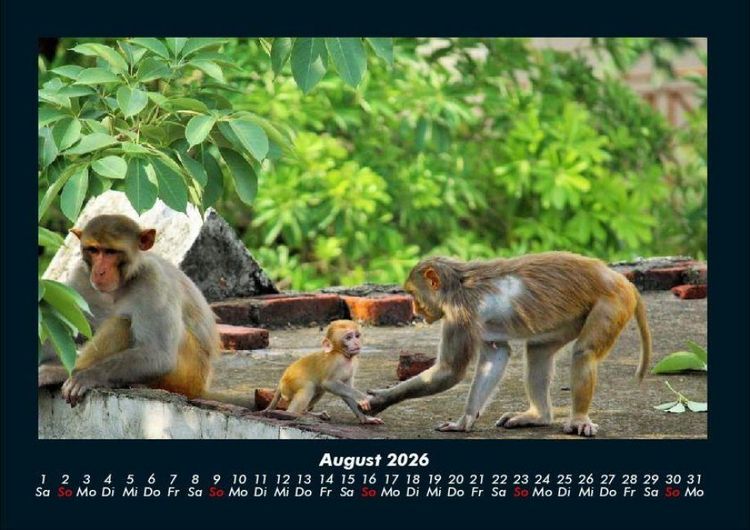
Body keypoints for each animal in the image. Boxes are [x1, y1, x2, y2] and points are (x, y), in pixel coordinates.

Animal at [38, 214, 222, 407]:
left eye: (111, 252)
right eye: (94, 250)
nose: (99, 272)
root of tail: (201, 388)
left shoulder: (154, 280)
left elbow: (158, 354)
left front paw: (87, 375)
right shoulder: (80, 276)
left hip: (187, 375)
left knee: (122, 323)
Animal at [359, 252, 652, 437]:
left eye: (413, 293)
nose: (416, 310)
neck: (458, 284)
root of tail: (619, 279)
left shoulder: (459, 314)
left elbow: (450, 371)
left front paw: (381, 399)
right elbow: (495, 357)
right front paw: (465, 420)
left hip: (612, 303)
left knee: (584, 352)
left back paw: (578, 418)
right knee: (537, 353)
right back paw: (539, 416)